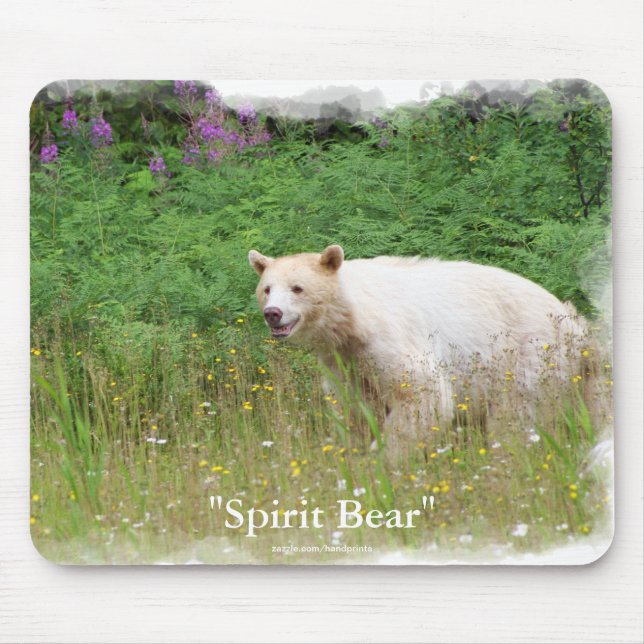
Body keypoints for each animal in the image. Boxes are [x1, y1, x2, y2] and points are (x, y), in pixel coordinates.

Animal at [248, 245, 587, 457]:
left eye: (297, 288)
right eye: (267, 288)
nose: (273, 313)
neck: (352, 322)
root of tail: (571, 318)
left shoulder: (391, 338)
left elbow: (422, 393)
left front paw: (385, 457)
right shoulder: (344, 360)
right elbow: (356, 407)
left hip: (526, 355)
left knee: (514, 416)